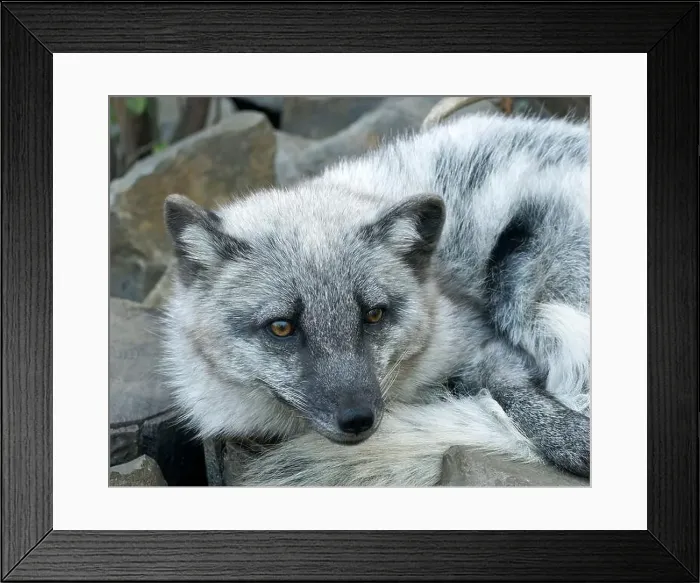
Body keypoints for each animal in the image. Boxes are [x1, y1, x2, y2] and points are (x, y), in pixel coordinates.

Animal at [160, 107, 591, 487]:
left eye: (374, 315)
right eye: (281, 327)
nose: (357, 419)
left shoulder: (481, 337)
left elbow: (513, 390)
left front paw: (569, 437)